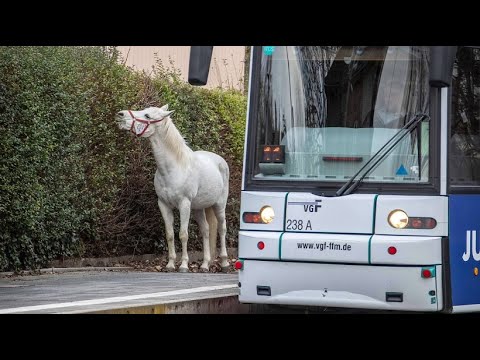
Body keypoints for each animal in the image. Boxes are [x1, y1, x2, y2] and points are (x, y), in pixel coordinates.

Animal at [115, 105, 230, 272]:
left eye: (147, 115)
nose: (120, 115)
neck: (174, 168)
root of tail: (220, 161)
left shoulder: (184, 204)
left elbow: (183, 234)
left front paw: (183, 265)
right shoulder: (163, 204)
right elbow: (169, 234)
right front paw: (170, 264)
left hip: (219, 205)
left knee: (222, 229)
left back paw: (225, 263)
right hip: (198, 208)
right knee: (206, 230)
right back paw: (205, 265)